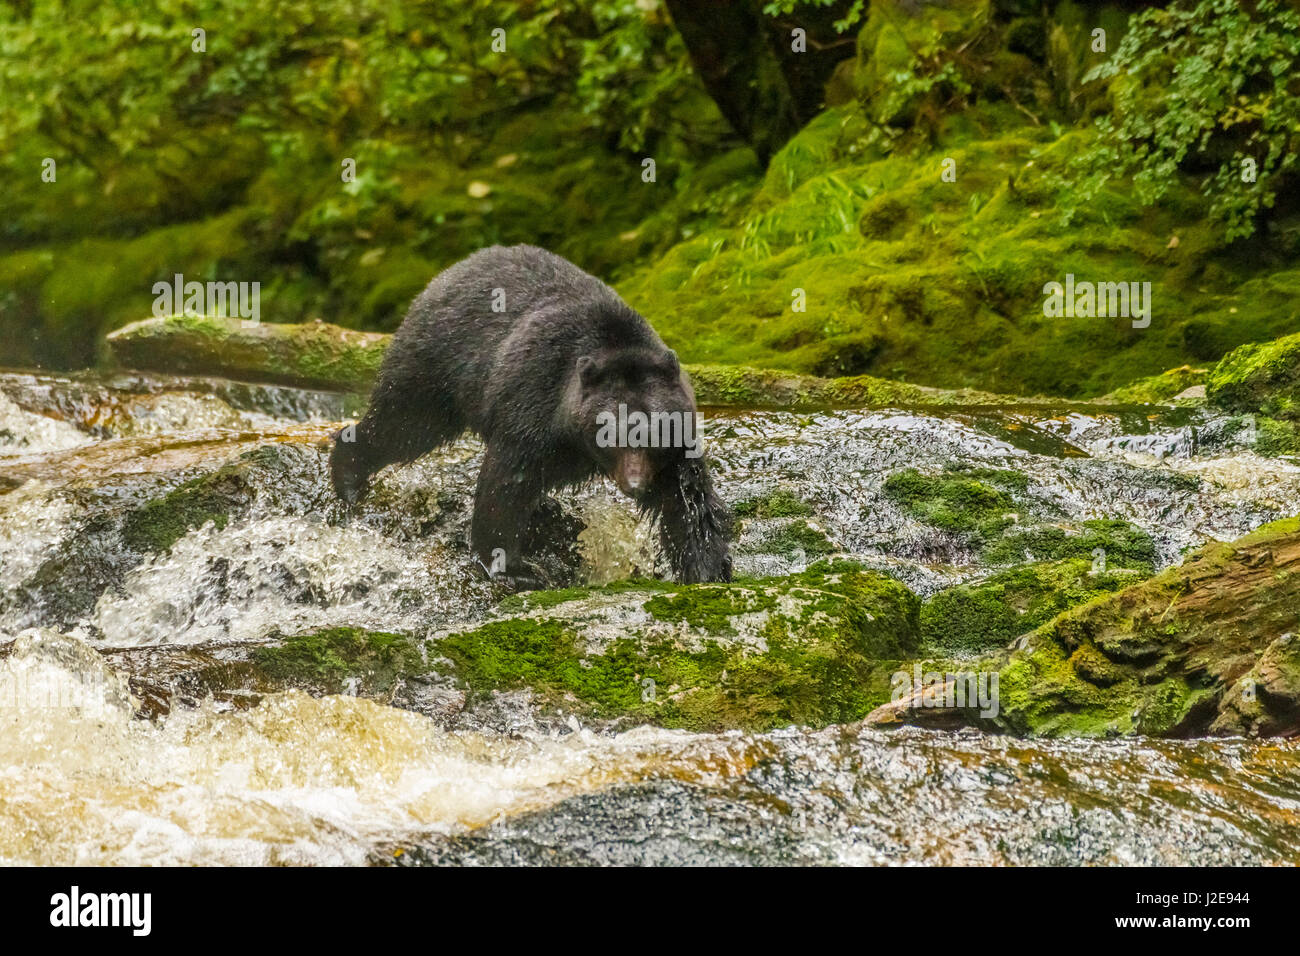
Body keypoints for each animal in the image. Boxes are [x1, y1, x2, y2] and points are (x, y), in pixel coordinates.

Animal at [330, 243, 733, 587]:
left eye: (652, 435)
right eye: (610, 433)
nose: (635, 485)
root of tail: (449, 272)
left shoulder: (677, 443)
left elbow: (689, 503)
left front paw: (707, 570)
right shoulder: (534, 400)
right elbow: (506, 483)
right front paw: (514, 568)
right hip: (438, 364)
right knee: (402, 424)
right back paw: (348, 476)